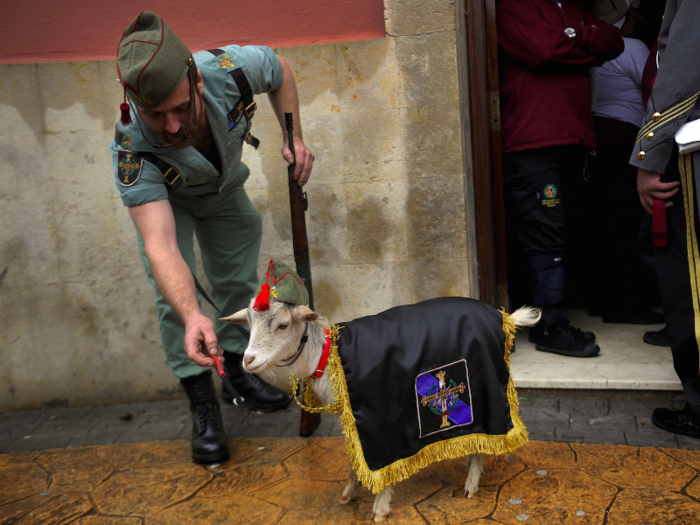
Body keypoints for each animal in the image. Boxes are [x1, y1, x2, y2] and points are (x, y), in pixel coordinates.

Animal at [221, 298, 540, 520]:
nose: (247, 360)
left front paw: (380, 507)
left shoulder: (381, 420)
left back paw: (471, 483)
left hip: (485, 390)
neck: (327, 359)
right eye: (249, 323)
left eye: (283, 325)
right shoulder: (353, 419)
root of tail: (503, 316)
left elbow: (380, 464)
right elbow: (353, 457)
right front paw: (349, 494)